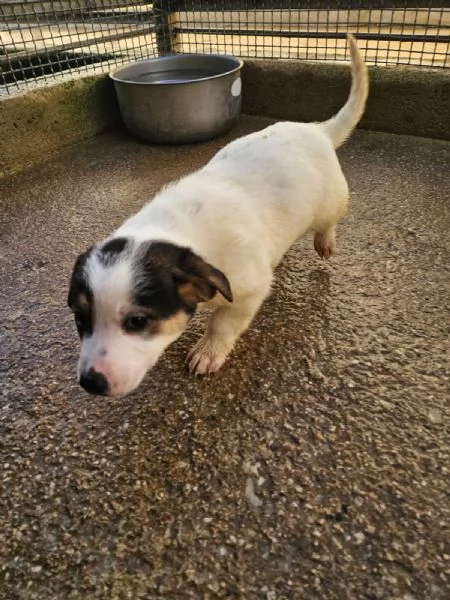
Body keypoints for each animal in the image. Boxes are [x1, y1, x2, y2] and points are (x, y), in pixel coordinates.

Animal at [68, 34, 368, 397]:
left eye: (138, 321)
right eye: (80, 318)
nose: (90, 383)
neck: (177, 229)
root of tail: (318, 131)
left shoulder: (246, 294)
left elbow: (222, 324)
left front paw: (208, 352)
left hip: (332, 201)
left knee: (328, 222)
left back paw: (325, 242)